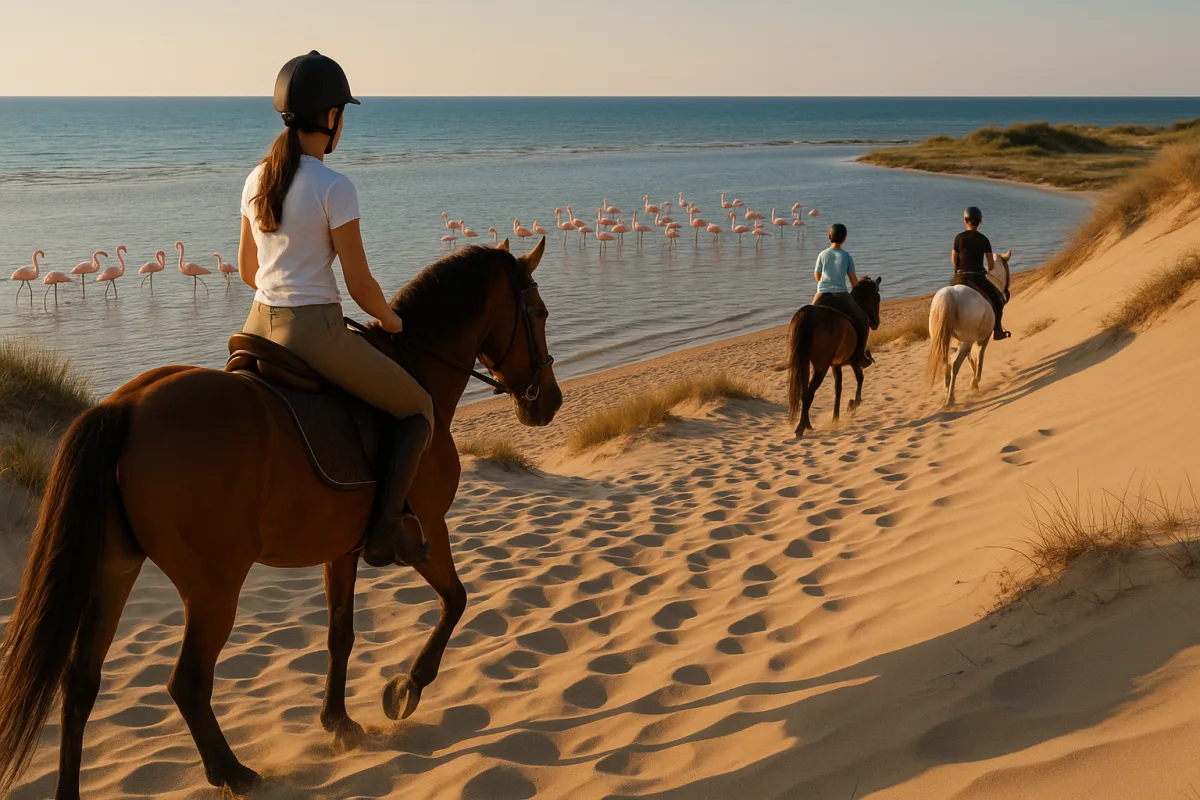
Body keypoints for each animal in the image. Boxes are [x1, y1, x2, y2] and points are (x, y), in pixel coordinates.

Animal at [0, 239, 562, 798]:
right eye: (539, 312)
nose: (550, 402)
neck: (417, 368)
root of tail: (127, 405)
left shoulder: (342, 552)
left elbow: (341, 634)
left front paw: (338, 721)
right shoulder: (429, 528)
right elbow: (455, 601)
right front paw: (407, 688)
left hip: (114, 569)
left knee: (80, 682)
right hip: (213, 586)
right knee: (188, 681)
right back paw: (231, 772)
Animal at [787, 277, 883, 438]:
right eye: (878, 297)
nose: (876, 323)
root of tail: (808, 315)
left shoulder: (835, 365)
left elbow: (838, 389)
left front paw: (835, 418)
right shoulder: (853, 362)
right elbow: (860, 379)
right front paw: (853, 404)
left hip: (805, 362)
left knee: (805, 392)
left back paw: (807, 424)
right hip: (821, 366)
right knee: (810, 392)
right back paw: (801, 428)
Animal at [925, 250, 1012, 407]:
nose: (1007, 294)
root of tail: (949, 295)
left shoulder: (964, 341)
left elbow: (970, 358)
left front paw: (973, 382)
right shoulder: (983, 338)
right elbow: (979, 356)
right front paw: (975, 382)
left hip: (943, 340)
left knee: (946, 362)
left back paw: (947, 392)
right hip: (967, 340)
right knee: (955, 365)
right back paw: (950, 399)